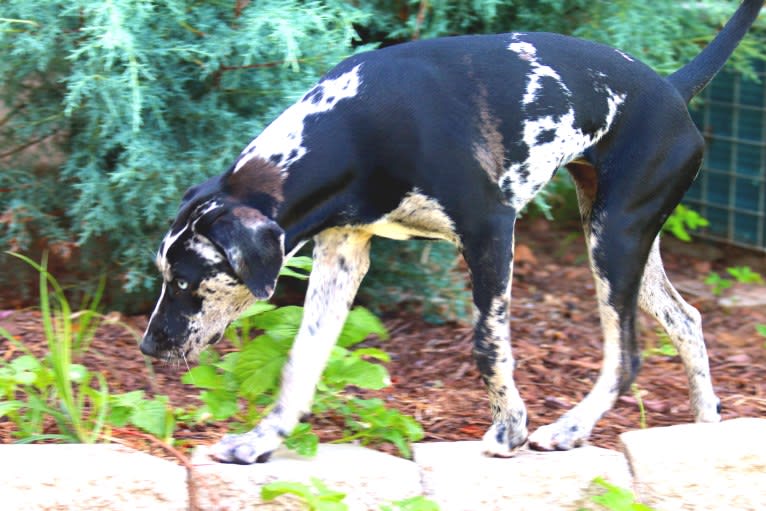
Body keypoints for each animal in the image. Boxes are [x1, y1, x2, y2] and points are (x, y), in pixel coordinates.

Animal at [141, 1, 764, 464]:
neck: (357, 125)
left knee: (627, 355)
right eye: (164, 274)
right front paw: (261, 442)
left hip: (614, 243)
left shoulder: (490, 233)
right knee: (686, 320)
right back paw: (704, 427)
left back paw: (569, 428)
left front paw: (510, 429)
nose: (150, 346)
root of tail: (672, 87)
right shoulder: (342, 255)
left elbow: (489, 347)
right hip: (625, 241)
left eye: (190, 282)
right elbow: (302, 360)